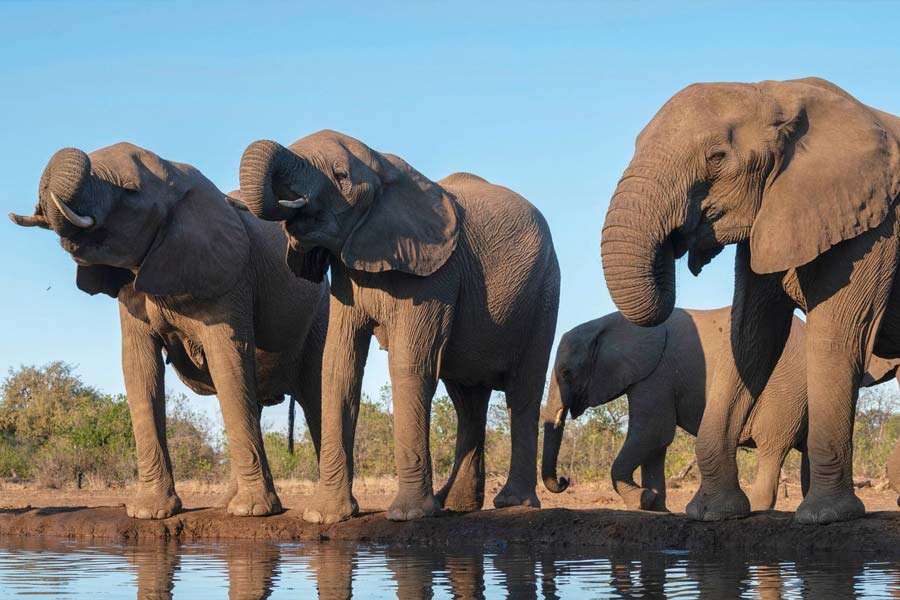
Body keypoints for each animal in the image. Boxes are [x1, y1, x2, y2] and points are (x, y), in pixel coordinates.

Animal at [9, 143, 328, 518]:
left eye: (129, 190)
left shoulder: (229, 278)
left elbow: (227, 361)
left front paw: (252, 512)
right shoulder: (131, 289)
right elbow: (139, 368)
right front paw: (149, 512)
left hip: (321, 312)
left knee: (316, 395)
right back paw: (225, 503)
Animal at [235, 130, 560, 522]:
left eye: (341, 176)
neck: (384, 165)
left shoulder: (434, 275)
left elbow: (410, 365)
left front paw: (409, 516)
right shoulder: (347, 277)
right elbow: (338, 367)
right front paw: (324, 516)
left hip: (544, 292)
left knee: (522, 391)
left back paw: (512, 503)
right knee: (467, 401)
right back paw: (455, 504)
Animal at [542, 306, 900, 512]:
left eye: (567, 373)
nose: (564, 479)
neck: (610, 321)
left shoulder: (655, 373)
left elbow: (653, 432)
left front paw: (642, 501)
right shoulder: (653, 376)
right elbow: (657, 443)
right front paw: (656, 506)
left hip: (786, 390)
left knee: (772, 446)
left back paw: (757, 507)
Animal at [600, 76, 900, 523]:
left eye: (717, 157)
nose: (678, 243)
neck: (777, 92)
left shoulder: (877, 225)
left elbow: (838, 337)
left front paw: (827, 515)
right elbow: (750, 338)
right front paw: (712, 513)